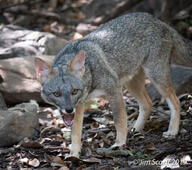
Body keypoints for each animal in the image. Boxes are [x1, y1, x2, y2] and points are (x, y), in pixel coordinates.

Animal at [34, 12, 192, 157]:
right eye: (56, 94)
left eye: (74, 91)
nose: (68, 109)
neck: (90, 73)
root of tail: (158, 21)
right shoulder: (80, 104)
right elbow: (75, 132)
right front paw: (74, 154)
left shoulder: (113, 89)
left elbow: (118, 119)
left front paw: (119, 143)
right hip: (131, 83)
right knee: (148, 103)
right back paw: (136, 129)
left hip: (156, 76)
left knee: (176, 102)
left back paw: (172, 131)